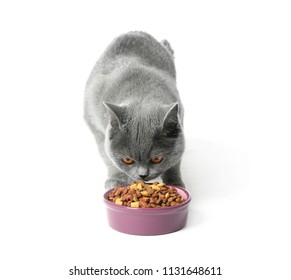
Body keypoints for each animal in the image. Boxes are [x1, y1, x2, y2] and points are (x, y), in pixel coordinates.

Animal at [84, 31, 185, 190]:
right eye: (127, 160)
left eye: (157, 159)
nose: (143, 175)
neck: (141, 95)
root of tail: (135, 32)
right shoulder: (97, 128)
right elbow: (108, 157)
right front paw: (116, 181)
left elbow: (175, 161)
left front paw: (175, 183)